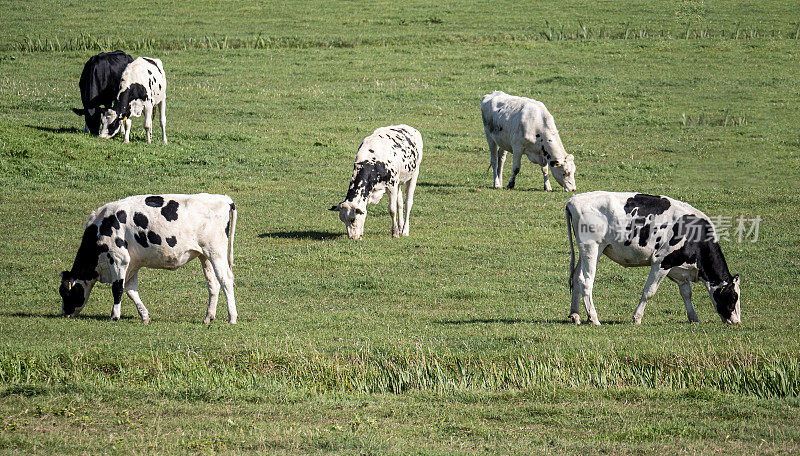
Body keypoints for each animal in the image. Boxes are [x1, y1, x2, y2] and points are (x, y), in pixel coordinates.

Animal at [59, 192, 236, 324]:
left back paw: (232, 317)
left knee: (226, 279)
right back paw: (208, 317)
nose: (64, 314)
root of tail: (224, 198)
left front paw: (114, 316)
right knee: (213, 284)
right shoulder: (132, 264)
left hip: (216, 251)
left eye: (65, 293)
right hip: (205, 255)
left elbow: (117, 288)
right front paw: (144, 316)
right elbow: (131, 290)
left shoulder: (119, 259)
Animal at [564, 191, 744, 326]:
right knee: (586, 281)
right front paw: (637, 318)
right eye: (733, 297)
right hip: (592, 247)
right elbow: (649, 292)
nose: (737, 322)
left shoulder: (679, 269)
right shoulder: (661, 262)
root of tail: (574, 199)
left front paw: (694, 318)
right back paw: (593, 318)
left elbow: (686, 293)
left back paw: (575, 315)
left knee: (576, 277)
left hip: (588, 251)